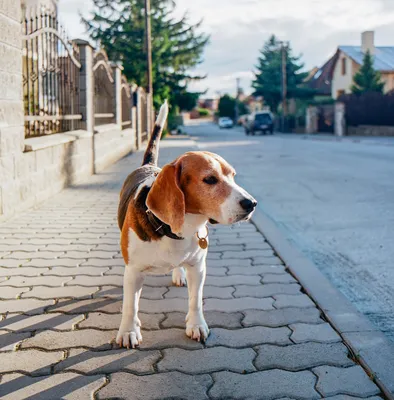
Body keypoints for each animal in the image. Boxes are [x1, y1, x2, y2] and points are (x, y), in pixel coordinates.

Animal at [116, 101, 258, 346]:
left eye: (232, 175)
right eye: (209, 179)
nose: (251, 204)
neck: (171, 230)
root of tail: (148, 165)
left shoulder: (198, 267)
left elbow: (195, 300)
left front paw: (196, 325)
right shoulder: (133, 271)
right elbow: (130, 306)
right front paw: (128, 331)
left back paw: (177, 274)